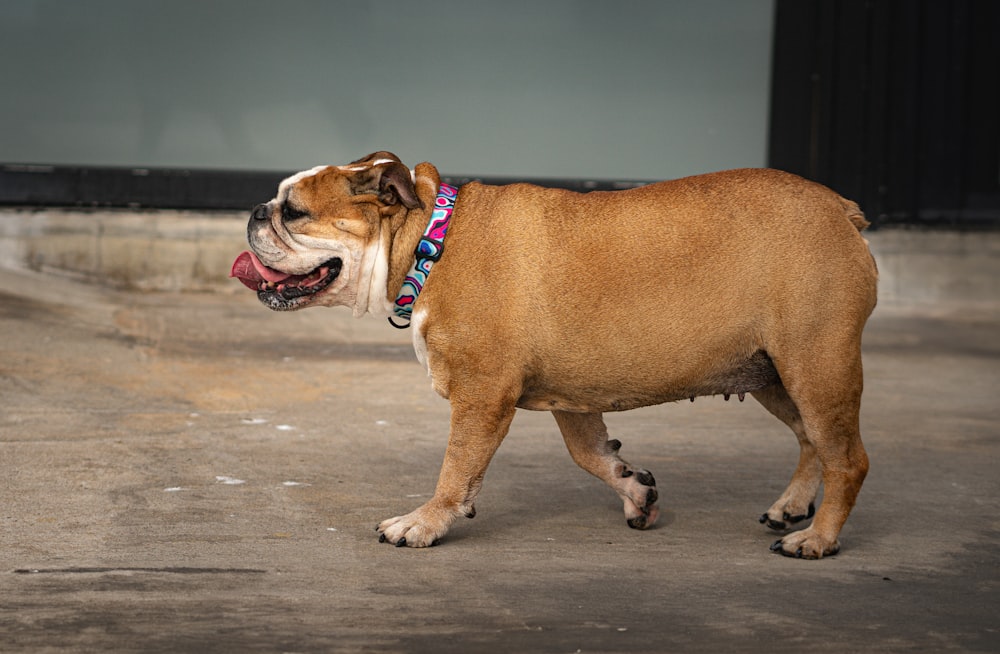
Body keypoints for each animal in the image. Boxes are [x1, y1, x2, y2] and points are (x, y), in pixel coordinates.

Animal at [230, 152, 880, 560]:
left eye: (294, 212)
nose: (255, 211)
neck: (428, 244)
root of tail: (839, 208)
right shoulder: (576, 396)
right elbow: (589, 453)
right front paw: (634, 488)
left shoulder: (482, 394)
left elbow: (456, 467)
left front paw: (424, 522)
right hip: (775, 373)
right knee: (811, 440)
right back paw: (792, 507)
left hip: (816, 364)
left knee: (847, 457)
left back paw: (817, 539)